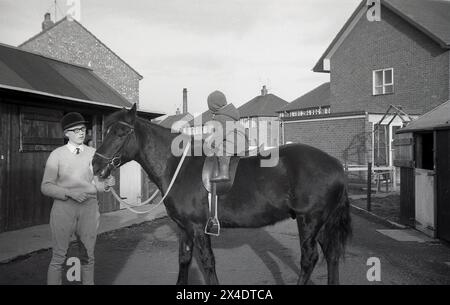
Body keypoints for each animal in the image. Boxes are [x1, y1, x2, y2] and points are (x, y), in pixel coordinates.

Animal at [91, 104, 352, 284]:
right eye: (107, 130)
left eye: (121, 133)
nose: (95, 164)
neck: (178, 166)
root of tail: (336, 165)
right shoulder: (184, 228)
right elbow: (184, 260)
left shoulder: (198, 227)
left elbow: (208, 263)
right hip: (322, 223)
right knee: (331, 255)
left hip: (309, 221)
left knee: (309, 259)